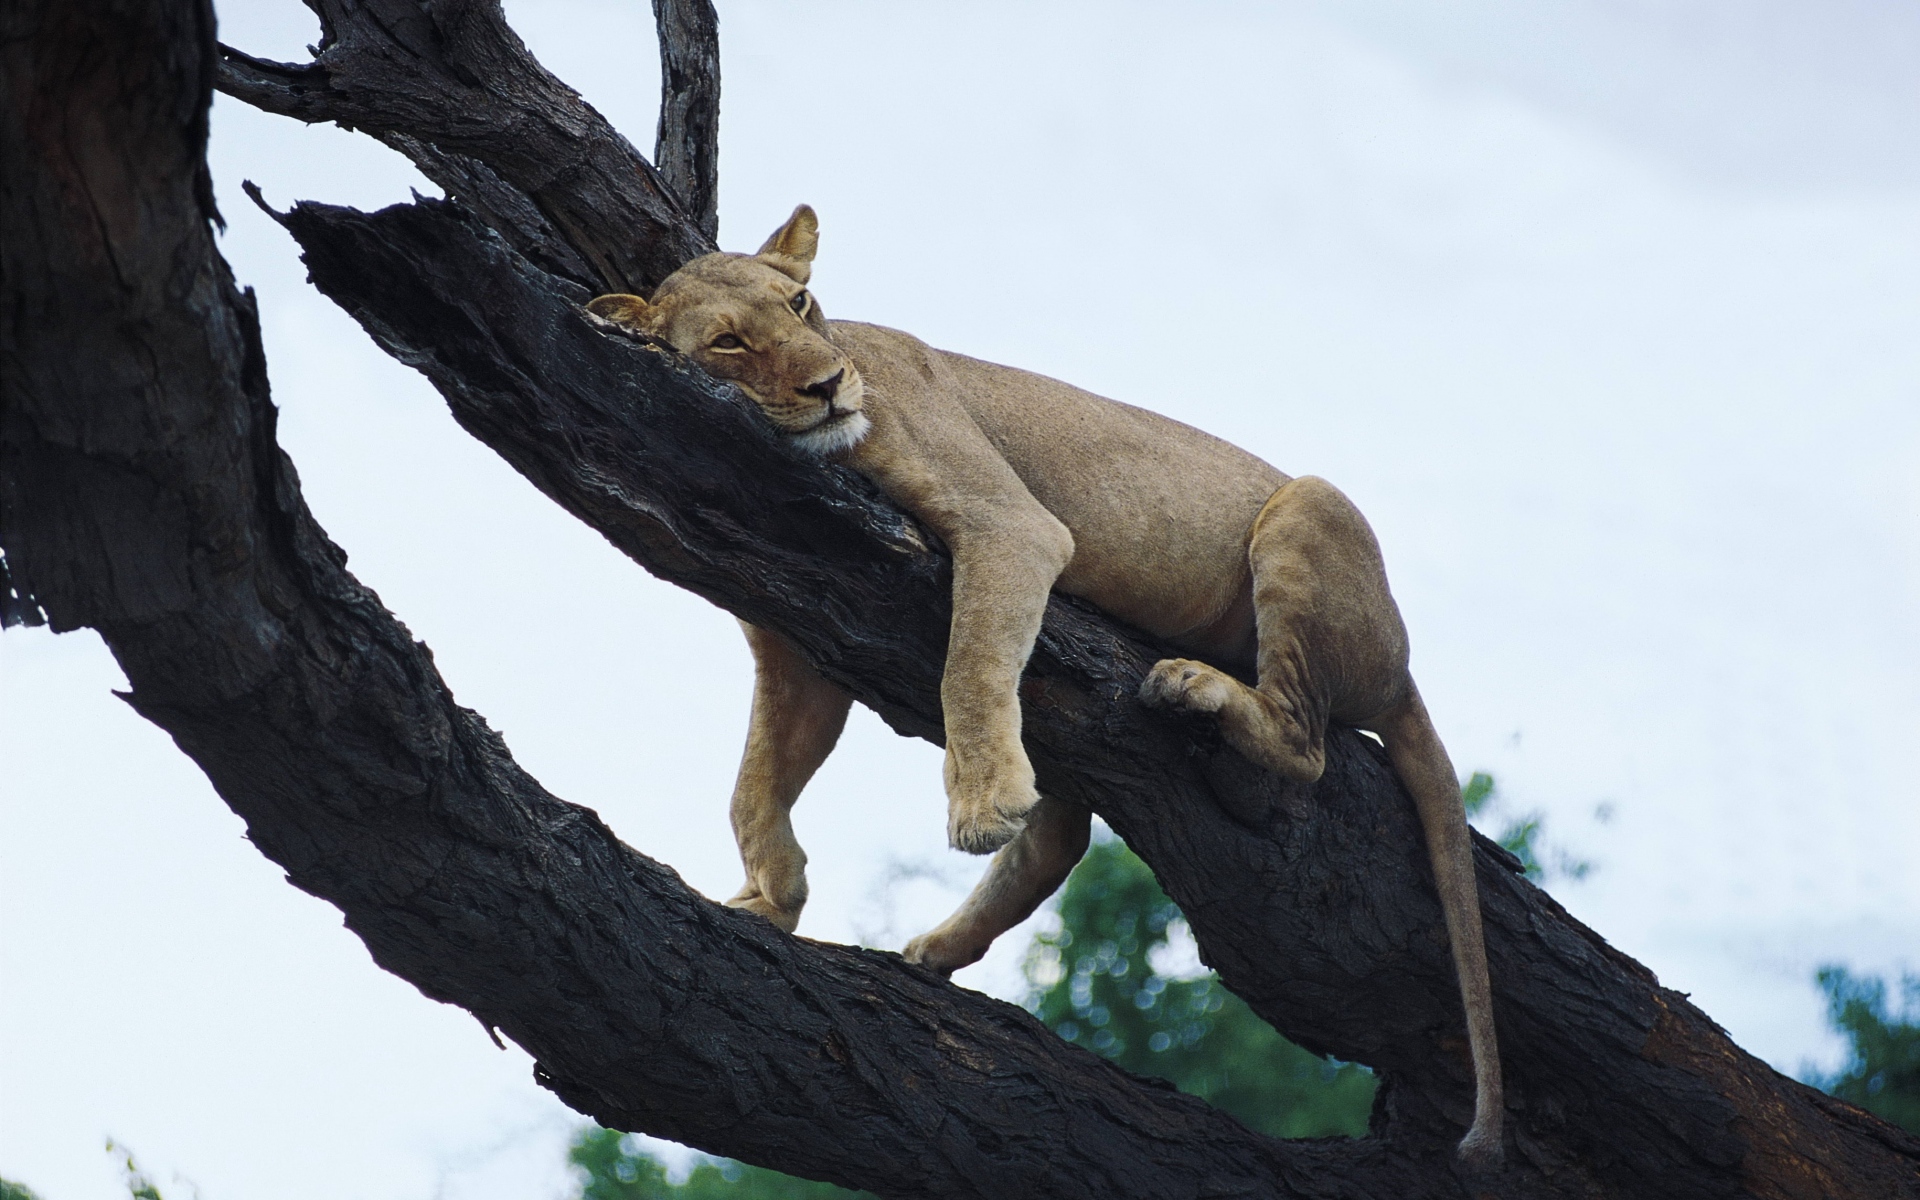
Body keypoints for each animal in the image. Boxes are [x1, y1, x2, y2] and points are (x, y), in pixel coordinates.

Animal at [586, 205, 1504, 1164]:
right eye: (729, 342)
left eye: (799, 303)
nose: (831, 385)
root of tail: (1402, 664)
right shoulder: (795, 654)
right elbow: (752, 780)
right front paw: (773, 894)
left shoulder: (1010, 525)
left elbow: (968, 663)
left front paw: (979, 803)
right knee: (1063, 836)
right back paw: (938, 948)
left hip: (1309, 508)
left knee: (1307, 746)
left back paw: (1190, 687)